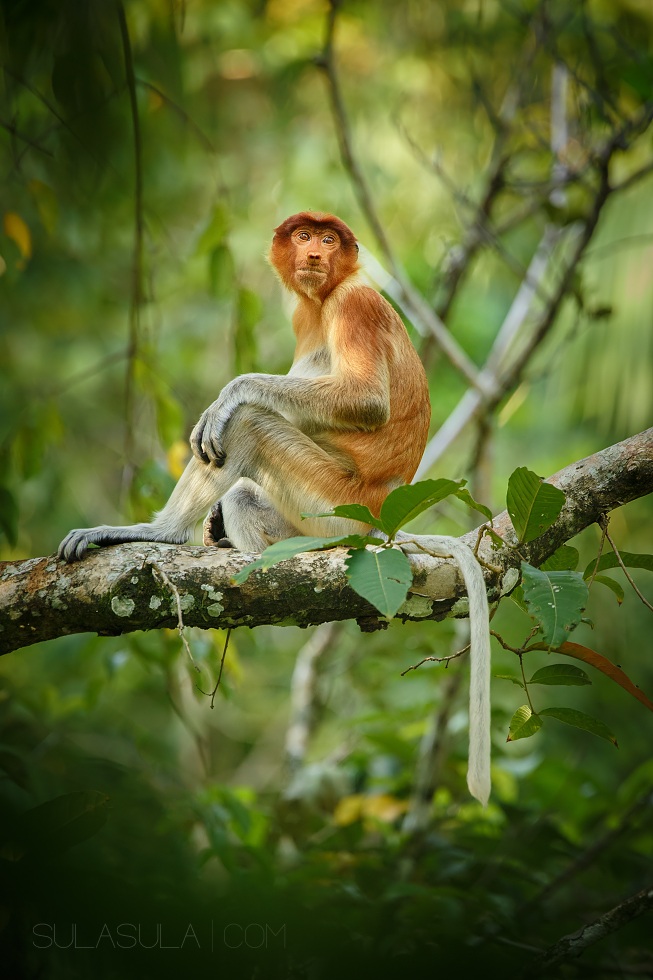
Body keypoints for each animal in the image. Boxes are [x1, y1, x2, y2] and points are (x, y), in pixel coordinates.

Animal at [58, 211, 491, 805]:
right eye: (305, 236)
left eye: (329, 239)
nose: (315, 254)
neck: (326, 295)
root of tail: (381, 521)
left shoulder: (354, 306)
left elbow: (359, 401)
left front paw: (226, 398)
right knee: (245, 490)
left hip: (332, 505)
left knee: (251, 426)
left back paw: (167, 533)